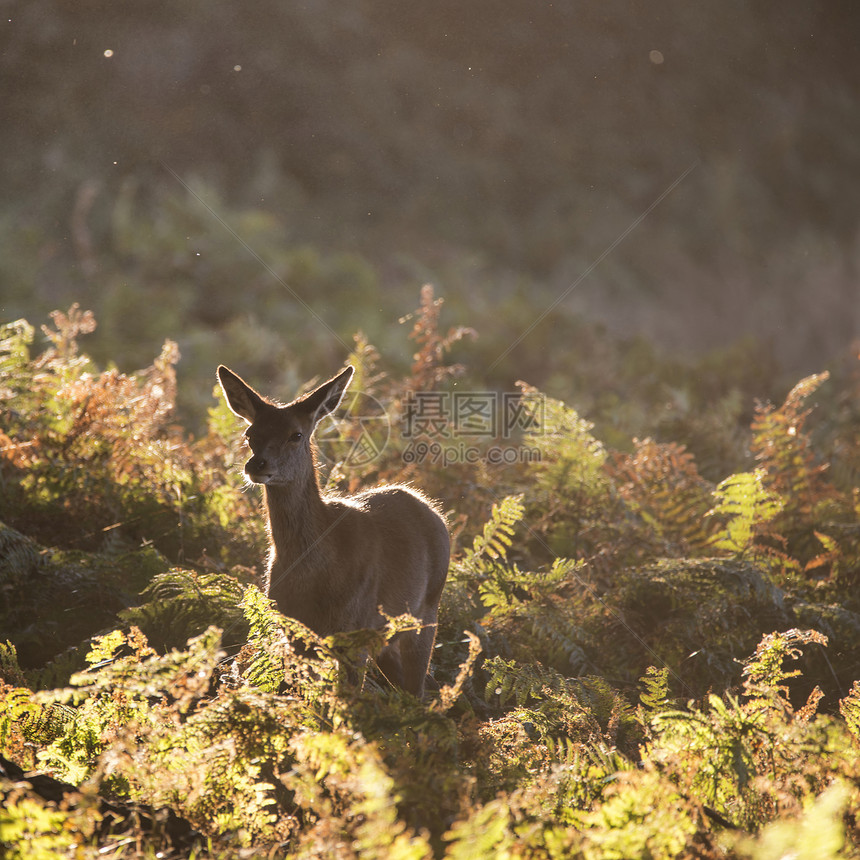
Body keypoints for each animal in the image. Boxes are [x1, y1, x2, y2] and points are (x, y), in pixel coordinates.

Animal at [217, 362, 450, 700]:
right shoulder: (294, 632)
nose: (257, 465)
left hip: (427, 611)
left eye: (296, 434)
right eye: (250, 434)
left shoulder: (355, 630)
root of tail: (432, 508)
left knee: (416, 690)